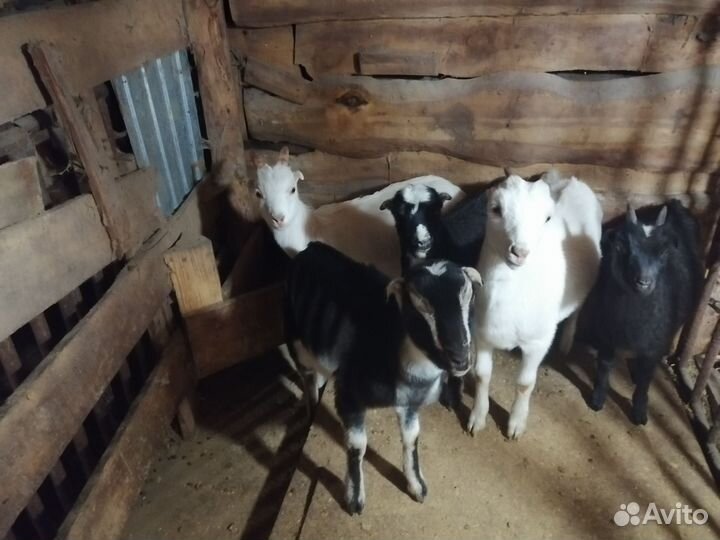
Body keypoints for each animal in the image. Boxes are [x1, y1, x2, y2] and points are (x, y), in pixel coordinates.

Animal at [284, 242, 482, 514]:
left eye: (468, 297)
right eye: (419, 305)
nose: (460, 358)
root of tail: (308, 249)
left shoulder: (410, 404)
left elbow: (411, 439)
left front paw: (416, 485)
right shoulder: (348, 396)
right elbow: (357, 446)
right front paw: (354, 499)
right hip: (295, 339)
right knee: (307, 378)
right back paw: (311, 409)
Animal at [468, 172, 603, 439]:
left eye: (547, 218)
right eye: (496, 209)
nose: (520, 252)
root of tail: (573, 180)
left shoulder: (537, 342)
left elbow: (524, 384)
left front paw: (516, 424)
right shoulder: (482, 334)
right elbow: (481, 375)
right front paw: (477, 417)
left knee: (576, 311)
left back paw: (567, 342)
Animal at [578, 200, 702, 425]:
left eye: (663, 252)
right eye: (621, 246)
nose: (643, 282)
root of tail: (674, 203)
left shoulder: (655, 345)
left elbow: (646, 379)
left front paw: (639, 411)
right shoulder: (607, 332)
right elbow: (604, 366)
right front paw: (597, 399)